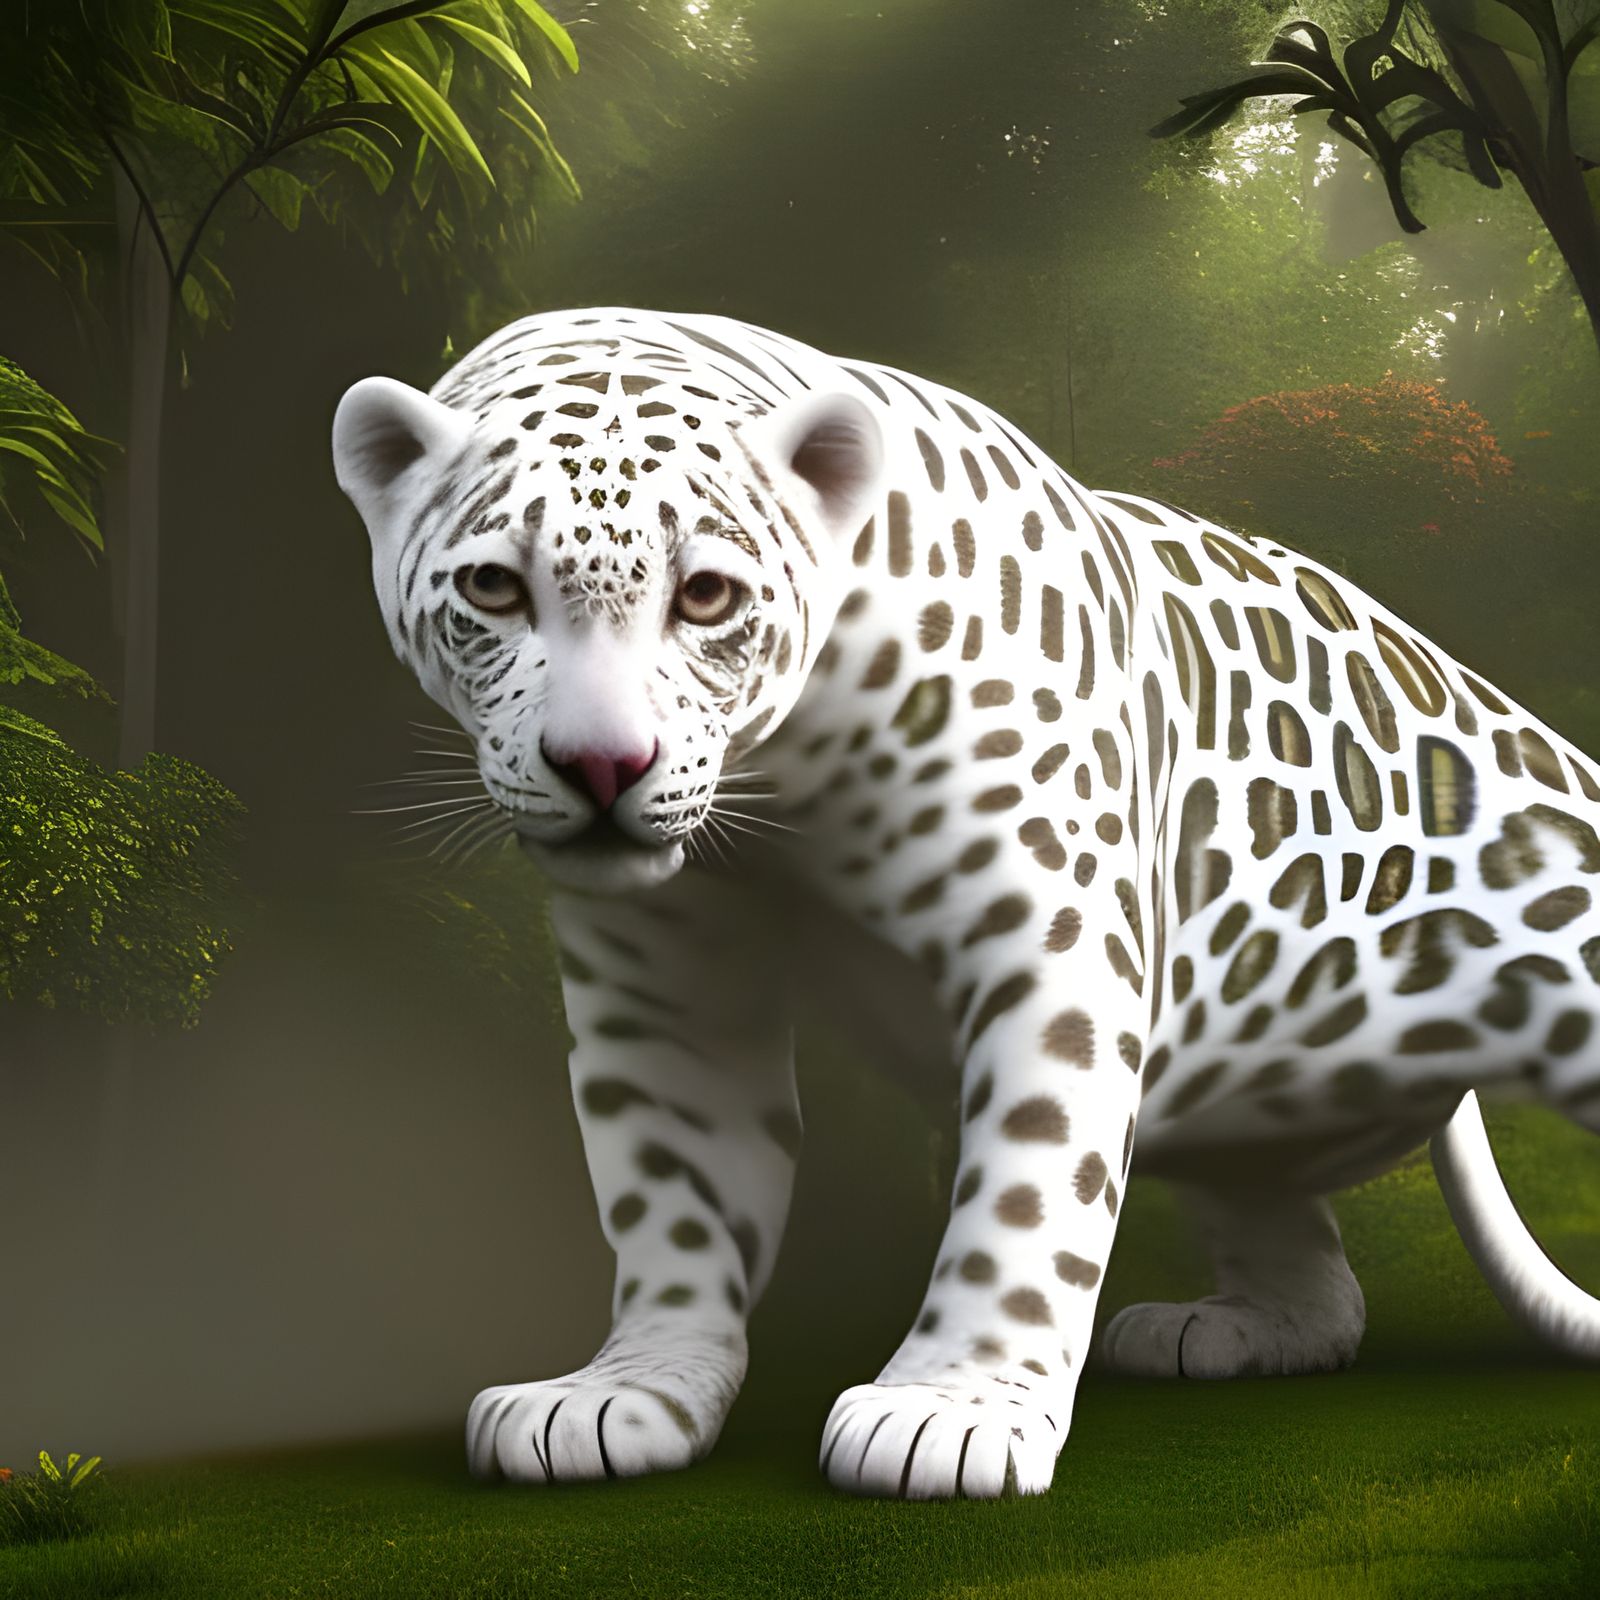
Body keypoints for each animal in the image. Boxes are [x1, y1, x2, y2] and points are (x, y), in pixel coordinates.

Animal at [332, 306, 1600, 1500]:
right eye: (494, 587)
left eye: (706, 595)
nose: (603, 767)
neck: (779, 779)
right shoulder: (665, 985)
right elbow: (674, 1192)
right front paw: (625, 1392)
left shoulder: (1051, 942)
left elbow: (1028, 1193)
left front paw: (947, 1412)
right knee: (1318, 1277)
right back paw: (1216, 1327)